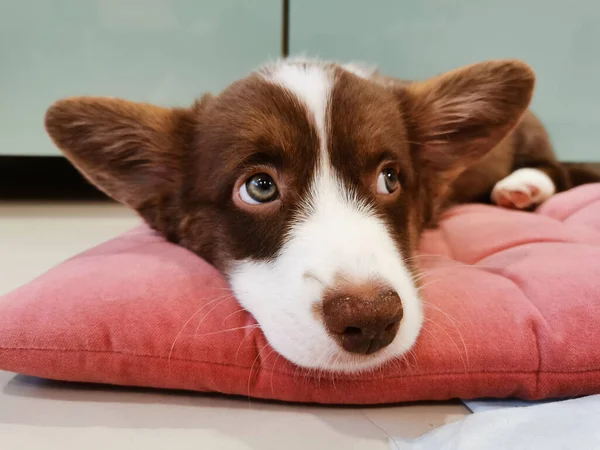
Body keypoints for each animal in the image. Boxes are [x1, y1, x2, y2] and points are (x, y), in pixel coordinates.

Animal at [42, 57, 596, 372]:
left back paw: (520, 187)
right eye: (259, 187)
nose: (371, 321)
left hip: (531, 136)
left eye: (390, 179)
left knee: (557, 167)